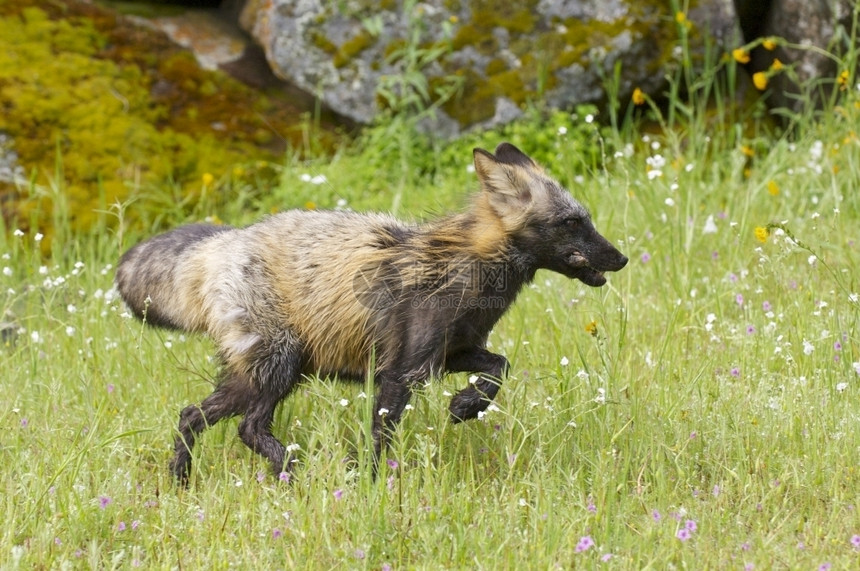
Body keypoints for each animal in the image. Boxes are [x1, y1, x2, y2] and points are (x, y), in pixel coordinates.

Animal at [116, 143, 624, 482]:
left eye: (586, 219)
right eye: (572, 222)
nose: (621, 258)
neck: (467, 271)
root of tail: (223, 242)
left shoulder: (452, 352)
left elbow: (500, 368)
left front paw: (466, 407)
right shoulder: (402, 371)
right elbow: (381, 438)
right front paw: (372, 486)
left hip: (260, 375)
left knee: (191, 415)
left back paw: (181, 481)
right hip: (278, 367)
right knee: (246, 427)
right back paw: (292, 470)